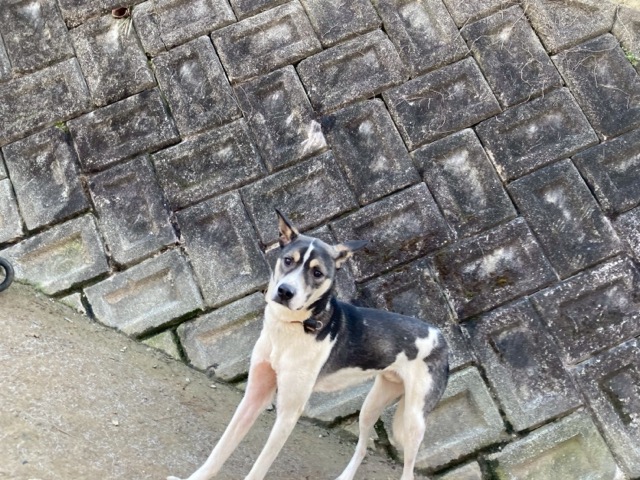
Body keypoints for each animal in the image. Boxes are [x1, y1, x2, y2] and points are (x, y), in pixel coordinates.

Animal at [168, 210, 449, 480]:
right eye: (288, 260)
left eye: (317, 273)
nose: (285, 291)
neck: (290, 326)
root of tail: (441, 336)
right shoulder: (254, 395)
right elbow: (221, 449)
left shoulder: (289, 412)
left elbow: (259, 467)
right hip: (372, 405)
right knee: (362, 446)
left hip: (413, 421)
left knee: (408, 470)